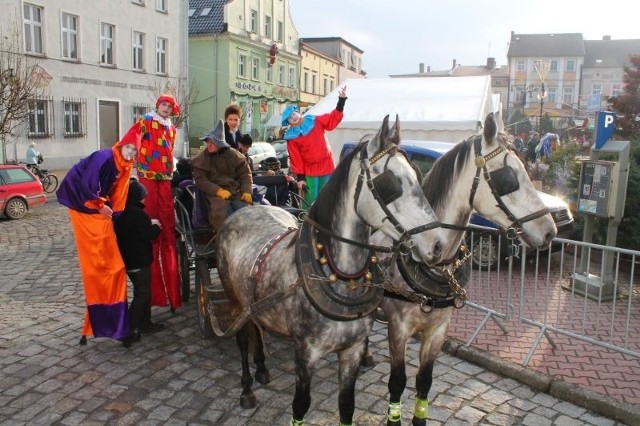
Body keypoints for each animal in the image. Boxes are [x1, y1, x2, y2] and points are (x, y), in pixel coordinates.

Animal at [218, 115, 448, 424]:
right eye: (390, 183)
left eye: (417, 176)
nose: (437, 245)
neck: (339, 276)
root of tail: (246, 207)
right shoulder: (306, 352)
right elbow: (300, 405)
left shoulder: (352, 350)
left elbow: (346, 405)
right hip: (235, 300)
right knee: (243, 337)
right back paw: (246, 388)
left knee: (258, 326)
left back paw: (262, 367)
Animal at [372, 113, 556, 426]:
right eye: (508, 177)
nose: (550, 231)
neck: (431, 263)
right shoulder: (398, 328)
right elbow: (397, 382)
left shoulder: (438, 330)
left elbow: (424, 382)